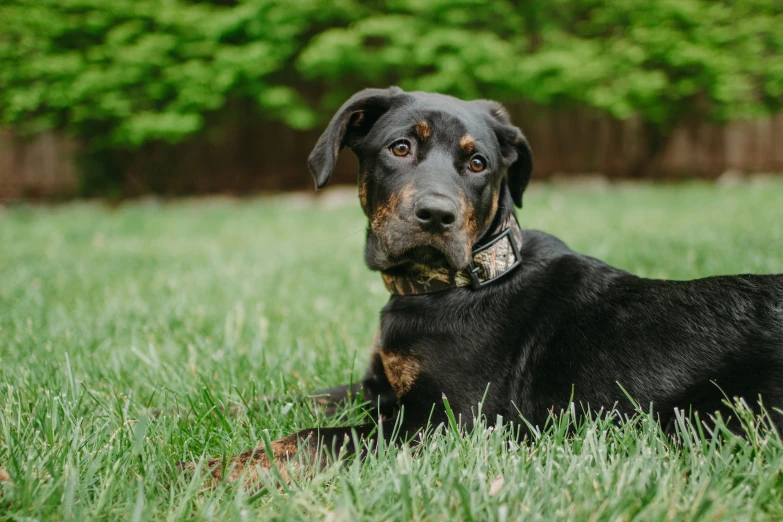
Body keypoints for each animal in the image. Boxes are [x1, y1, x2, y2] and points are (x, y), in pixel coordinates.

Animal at [184, 87, 783, 482]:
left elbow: (316, 436)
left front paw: (213, 469)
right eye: (400, 148)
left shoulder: (443, 423)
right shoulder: (379, 387)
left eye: (478, 163)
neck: (454, 284)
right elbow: (300, 398)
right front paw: (190, 414)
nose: (435, 215)